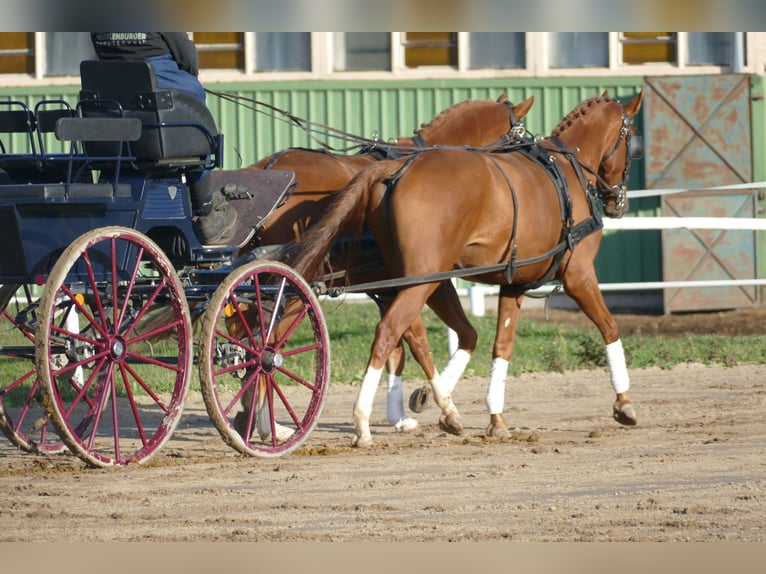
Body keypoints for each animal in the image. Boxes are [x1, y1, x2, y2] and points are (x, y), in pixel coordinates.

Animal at [292, 92, 644, 448]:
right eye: (631, 137)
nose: (619, 201)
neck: (567, 170)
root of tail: (394, 167)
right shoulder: (579, 276)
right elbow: (610, 327)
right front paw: (624, 402)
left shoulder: (514, 284)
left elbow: (501, 346)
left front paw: (492, 416)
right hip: (422, 280)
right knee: (388, 332)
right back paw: (360, 421)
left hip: (417, 278)